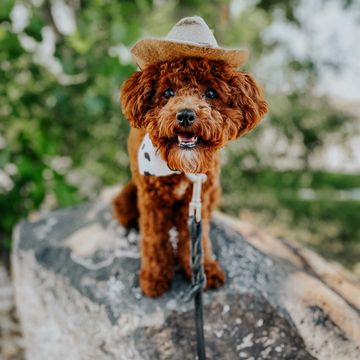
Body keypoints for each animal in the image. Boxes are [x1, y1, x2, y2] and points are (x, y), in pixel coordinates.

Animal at [112, 16, 268, 296]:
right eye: (168, 92)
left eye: (210, 93)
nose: (185, 115)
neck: (180, 167)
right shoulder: (151, 201)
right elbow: (154, 239)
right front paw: (154, 277)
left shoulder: (199, 199)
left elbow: (197, 238)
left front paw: (203, 269)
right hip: (125, 201)